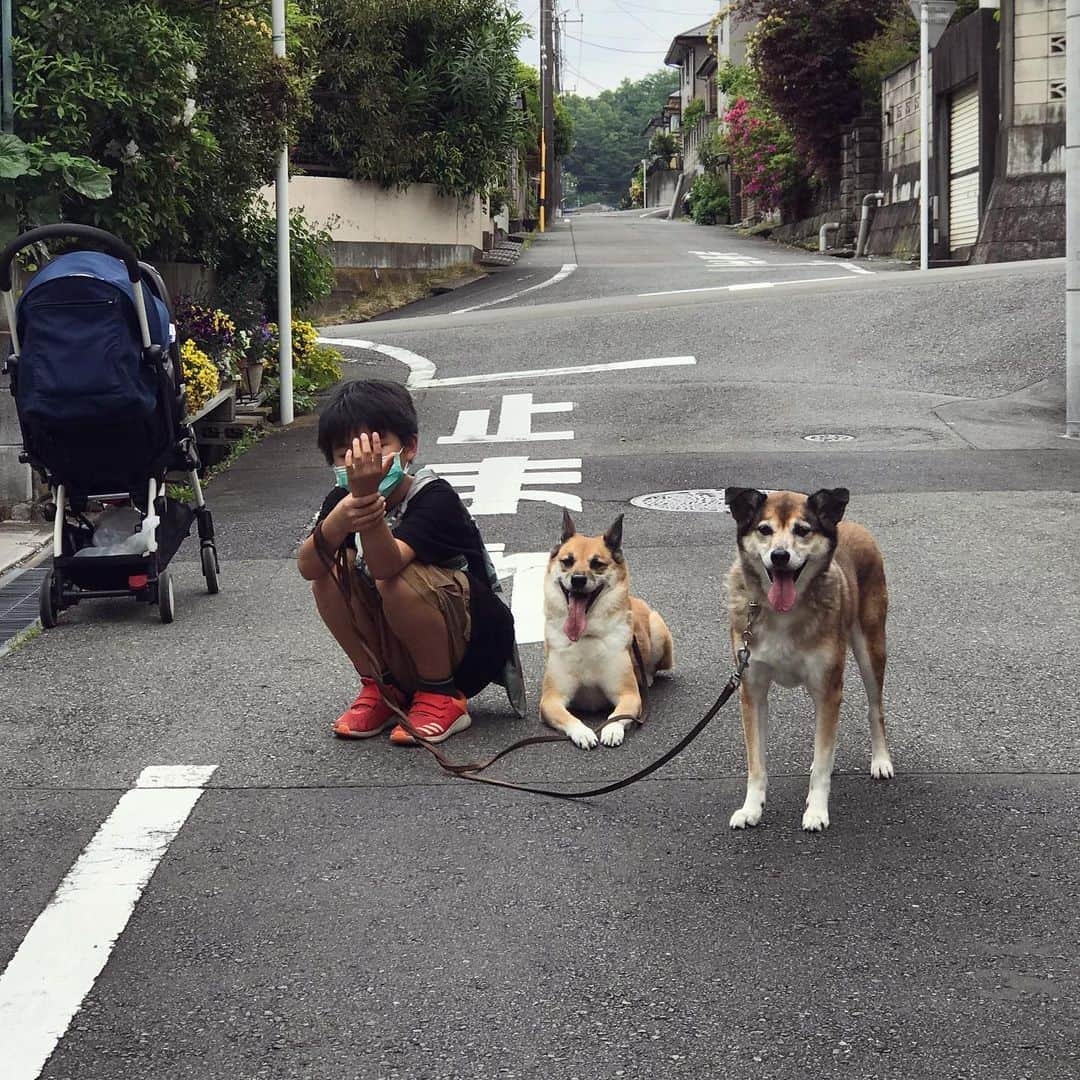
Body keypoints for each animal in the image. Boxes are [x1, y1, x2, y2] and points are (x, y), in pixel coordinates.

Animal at [725, 490, 894, 833]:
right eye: (764, 529)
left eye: (802, 530)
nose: (779, 556)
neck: (782, 614)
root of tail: (854, 526)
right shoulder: (752, 690)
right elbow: (756, 762)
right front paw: (751, 809)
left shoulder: (828, 688)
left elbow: (823, 757)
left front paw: (816, 811)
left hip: (871, 647)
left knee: (875, 708)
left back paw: (881, 760)